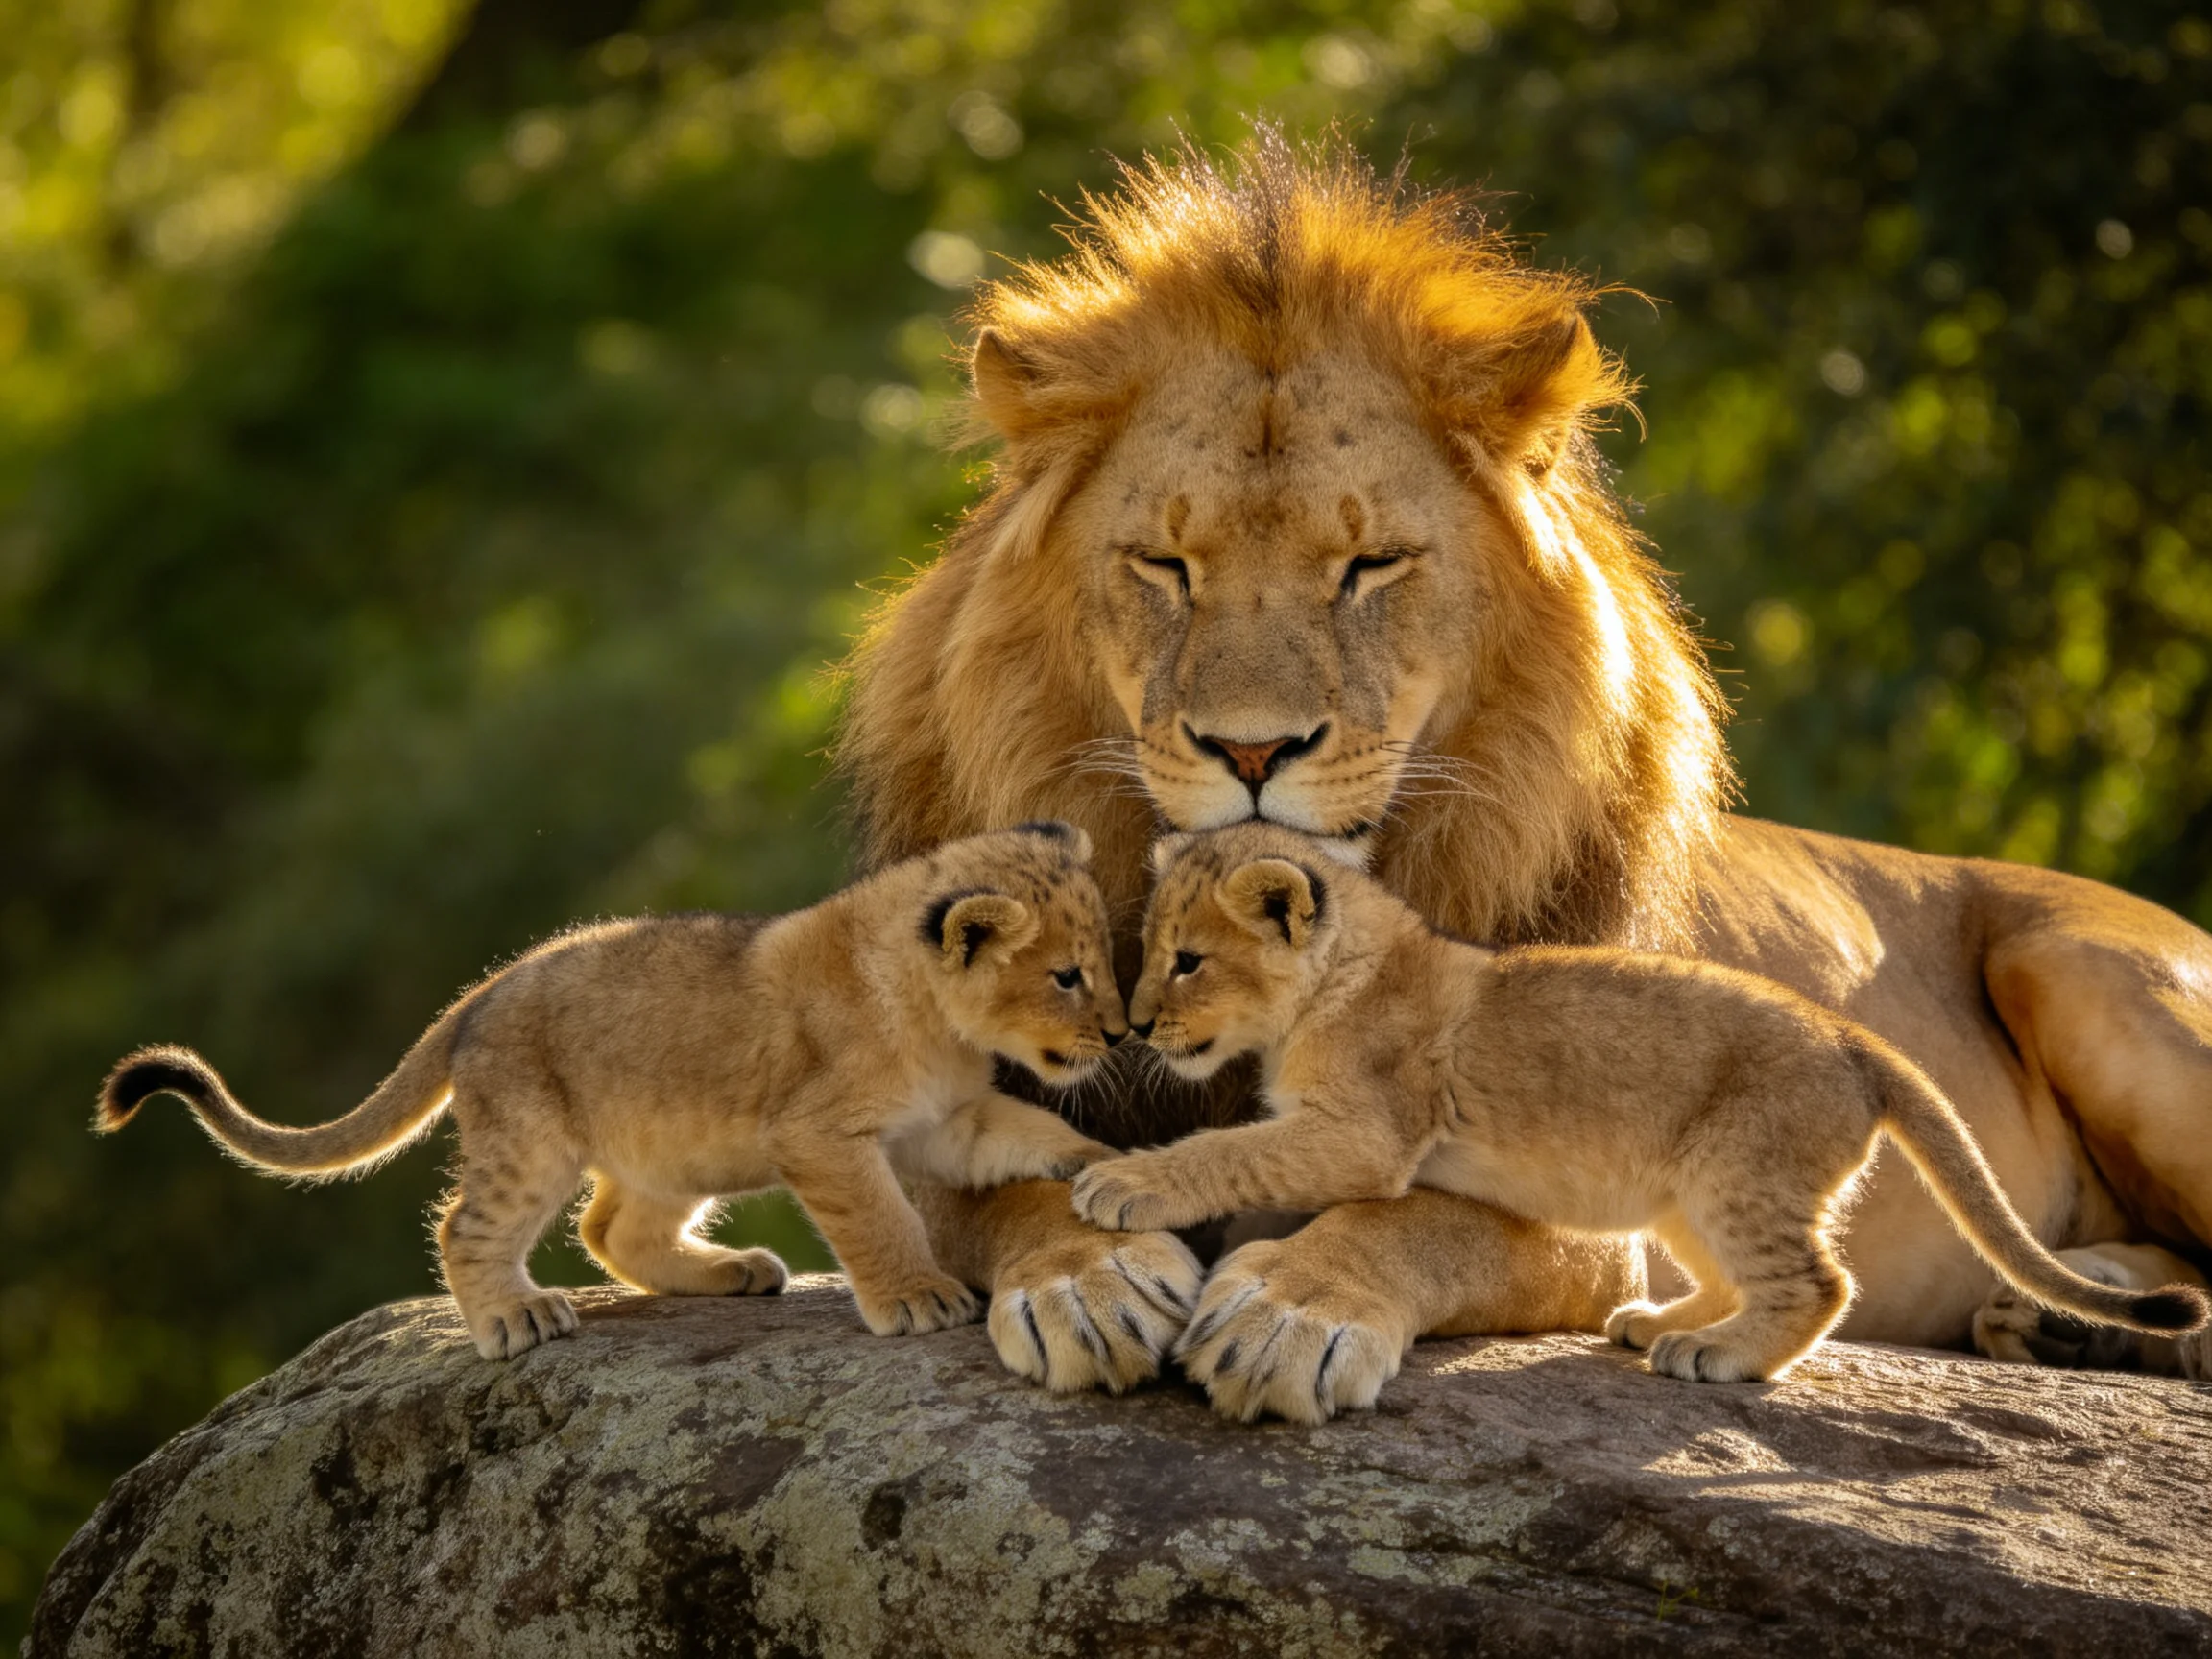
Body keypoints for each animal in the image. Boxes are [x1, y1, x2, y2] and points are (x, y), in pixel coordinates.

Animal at [96, 825, 1156, 1359]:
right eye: (1067, 976)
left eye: (1103, 963)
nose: (1119, 1033)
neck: (937, 1021)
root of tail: (480, 990)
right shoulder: (821, 1136)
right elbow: (881, 1218)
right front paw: (916, 1297)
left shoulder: (948, 1120)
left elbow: (1027, 1127)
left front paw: (1117, 1166)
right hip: (532, 1142)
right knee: (467, 1227)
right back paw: (513, 1322)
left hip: (673, 1151)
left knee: (612, 1229)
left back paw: (731, 1273)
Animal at [1067, 823, 2206, 1409]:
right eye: (1149, 951)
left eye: (1187, 960)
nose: (1136, 1023)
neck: (1339, 974)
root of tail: (1857, 1043)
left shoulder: (1366, 1133)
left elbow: (1229, 1150)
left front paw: (1121, 1183)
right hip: (1681, 1197)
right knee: (1736, 1276)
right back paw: (1661, 1323)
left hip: (1742, 1172)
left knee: (1821, 1284)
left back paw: (1721, 1356)